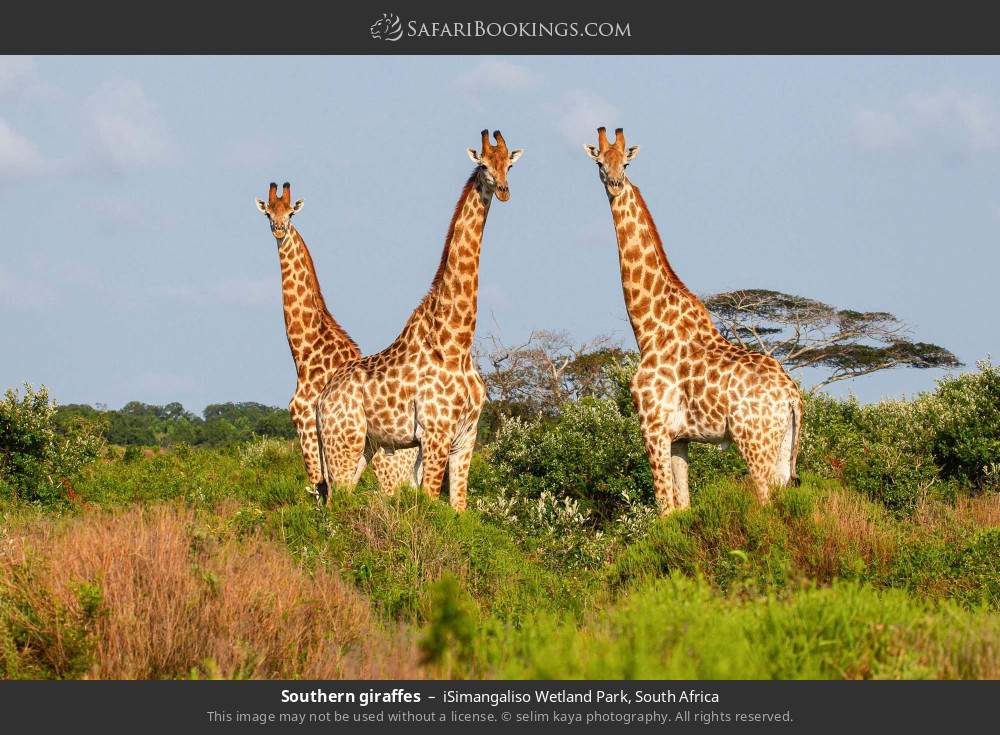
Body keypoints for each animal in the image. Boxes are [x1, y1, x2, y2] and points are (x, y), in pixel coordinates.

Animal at [254, 182, 417, 499]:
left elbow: (319, 487)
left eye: (290, 212)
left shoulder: (305, 419)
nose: (279, 229)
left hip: (387, 462)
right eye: (268, 212)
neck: (306, 350)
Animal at [315, 130, 523, 511]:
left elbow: (459, 508)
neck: (456, 342)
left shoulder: (466, 437)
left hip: (364, 446)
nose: (503, 190)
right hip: (344, 443)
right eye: (485, 165)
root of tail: (322, 400)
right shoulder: (435, 433)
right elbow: (428, 503)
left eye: (509, 165)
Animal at [583, 128, 803, 513]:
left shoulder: (652, 426)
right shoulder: (679, 437)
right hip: (782, 447)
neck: (649, 327)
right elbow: (682, 505)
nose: (615, 183)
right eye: (599, 162)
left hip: (754, 442)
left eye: (625, 163)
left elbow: (664, 509)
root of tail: (792, 395)